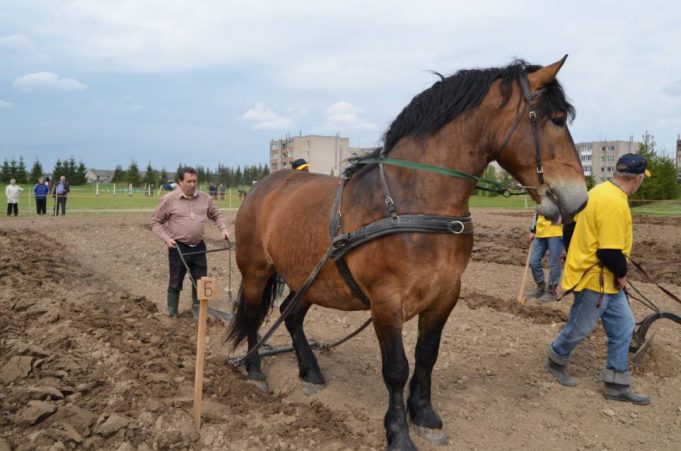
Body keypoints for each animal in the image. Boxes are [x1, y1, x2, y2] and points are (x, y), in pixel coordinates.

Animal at [231, 57, 588, 451]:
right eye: (557, 119)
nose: (579, 199)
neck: (414, 202)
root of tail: (265, 185)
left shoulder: (446, 294)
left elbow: (426, 355)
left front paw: (425, 416)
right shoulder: (387, 302)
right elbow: (396, 368)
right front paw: (398, 433)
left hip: (310, 277)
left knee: (290, 316)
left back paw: (310, 371)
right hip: (256, 271)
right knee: (253, 315)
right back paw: (254, 370)